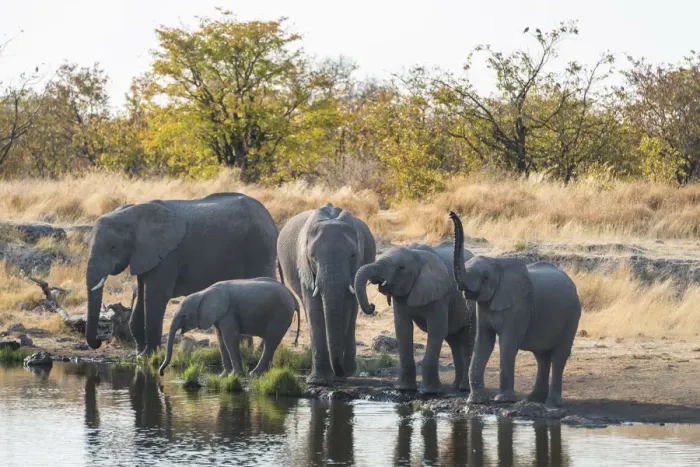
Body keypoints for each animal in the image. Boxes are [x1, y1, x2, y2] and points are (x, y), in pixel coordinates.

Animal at [85, 192, 278, 355]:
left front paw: (150, 355)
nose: (99, 341)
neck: (133, 214)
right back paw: (247, 350)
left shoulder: (169, 255)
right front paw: (139, 354)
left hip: (260, 248)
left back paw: (259, 351)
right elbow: (141, 295)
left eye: (113, 248)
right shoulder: (144, 255)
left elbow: (155, 296)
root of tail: (269, 218)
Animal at [159, 278, 300, 377]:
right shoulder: (219, 316)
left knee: (270, 343)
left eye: (183, 316)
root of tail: (293, 298)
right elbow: (221, 339)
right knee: (271, 343)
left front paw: (235, 375)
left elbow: (229, 338)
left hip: (280, 315)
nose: (161, 373)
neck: (203, 293)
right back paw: (263, 373)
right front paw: (223, 376)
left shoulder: (228, 313)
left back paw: (254, 374)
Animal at [277, 202, 376, 385]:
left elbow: (345, 309)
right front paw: (319, 381)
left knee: (352, 314)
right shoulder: (305, 267)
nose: (372, 306)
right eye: (312, 256)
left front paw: (337, 378)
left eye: (353, 255)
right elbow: (314, 309)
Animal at [354, 242, 476, 394]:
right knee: (453, 342)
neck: (416, 255)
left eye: (401, 268)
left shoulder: (440, 295)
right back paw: (455, 386)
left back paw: (464, 388)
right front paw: (404, 388)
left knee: (467, 341)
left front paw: (430, 391)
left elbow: (437, 331)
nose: (372, 306)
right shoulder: (401, 297)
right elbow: (403, 330)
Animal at [449, 211, 581, 407]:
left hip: (572, 316)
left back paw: (552, 404)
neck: (498, 263)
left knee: (559, 355)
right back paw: (533, 399)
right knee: (542, 357)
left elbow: (508, 343)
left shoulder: (519, 306)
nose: (451, 213)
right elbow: (483, 342)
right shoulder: (485, 306)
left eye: (486, 277)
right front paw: (475, 401)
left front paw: (503, 400)